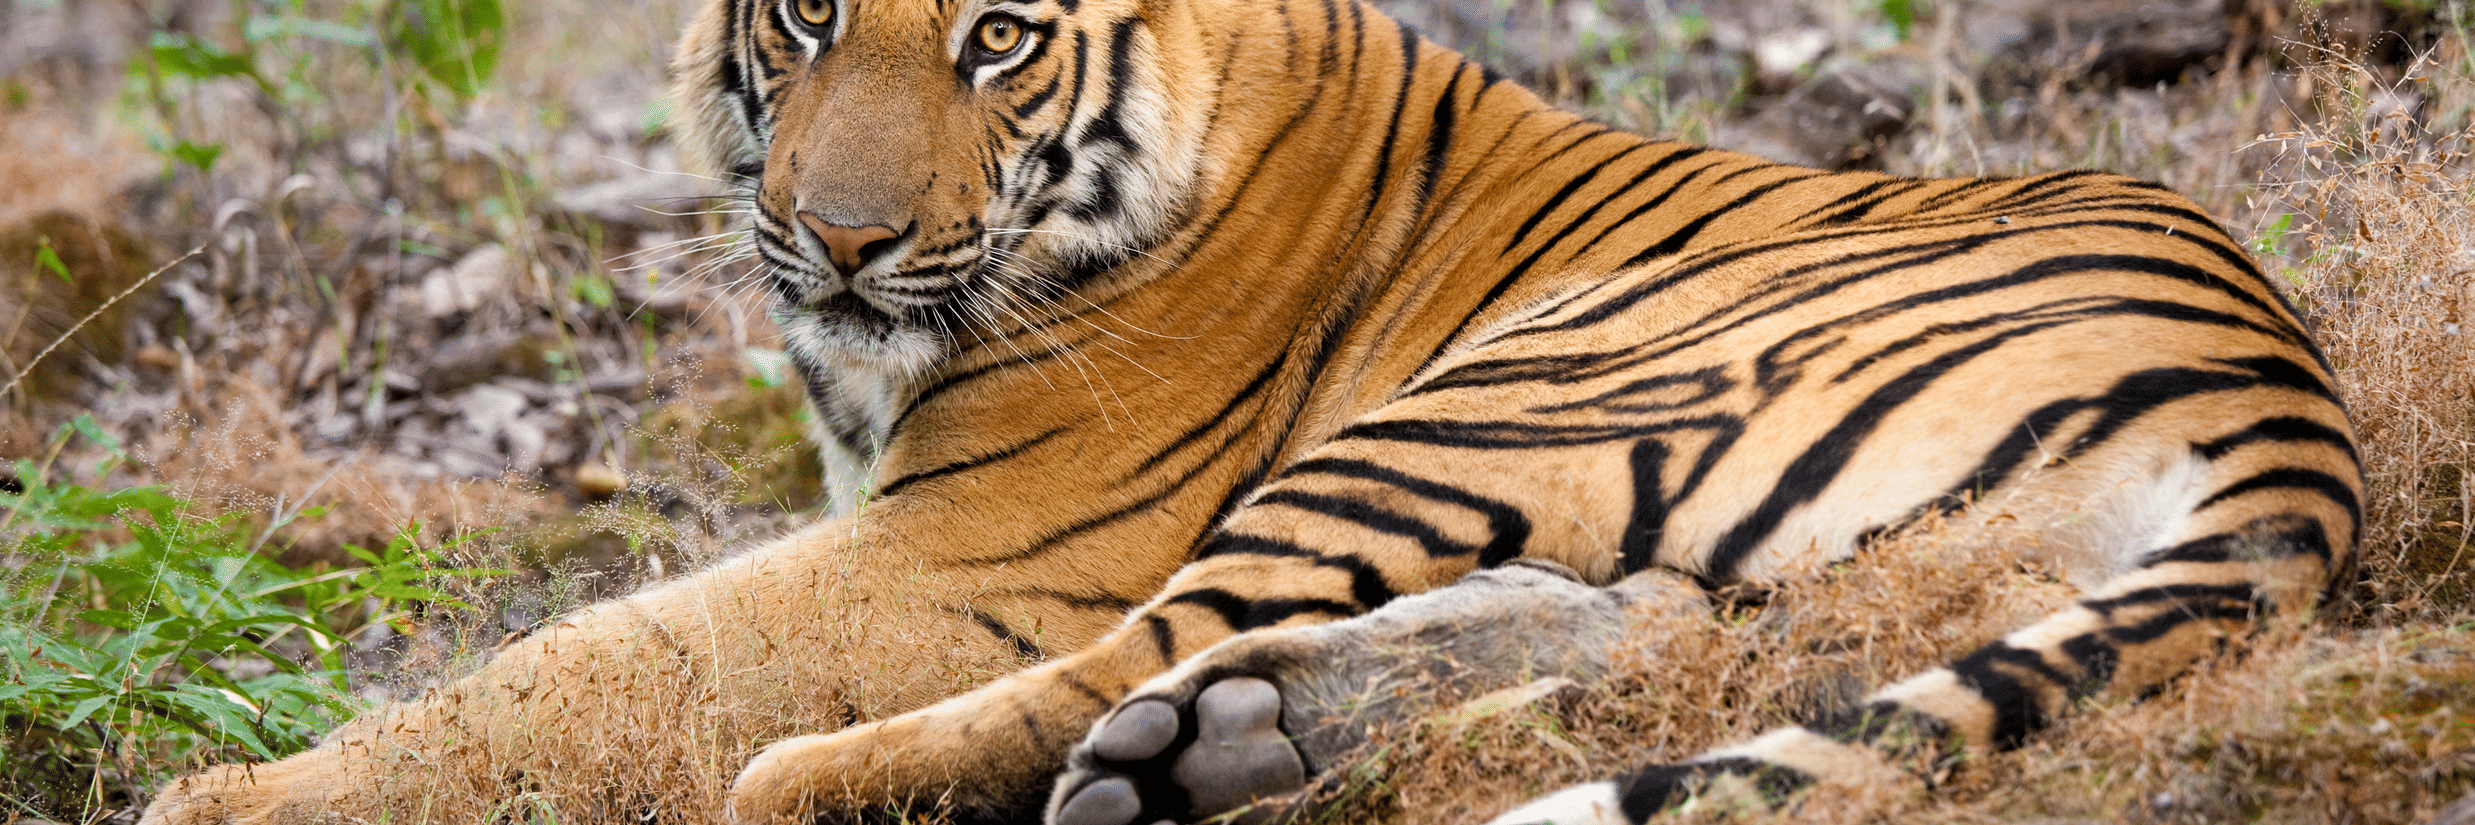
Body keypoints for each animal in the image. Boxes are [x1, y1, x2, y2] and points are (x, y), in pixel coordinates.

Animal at [138, 0, 2360, 817]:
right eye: (809, 11)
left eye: (998, 37)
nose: (841, 242)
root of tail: (2286, 385)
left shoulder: (974, 551)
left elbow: (589, 656)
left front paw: (234, 800)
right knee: (1661, 632)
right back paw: (1251, 741)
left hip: (1517, 378)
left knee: (1115, 663)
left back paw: (898, 772)